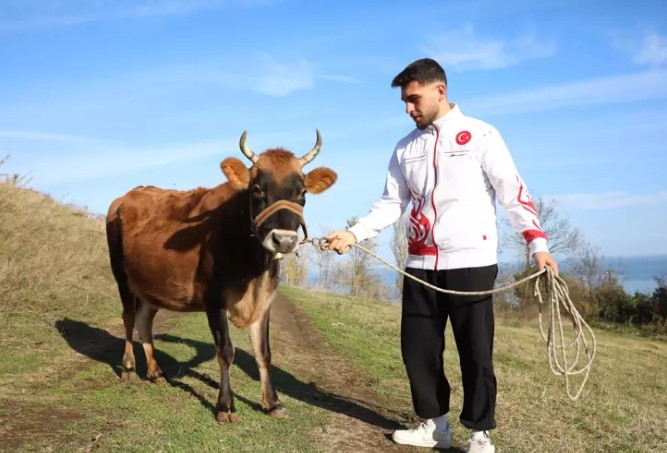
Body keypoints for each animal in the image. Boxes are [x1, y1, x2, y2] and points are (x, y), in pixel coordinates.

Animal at [106, 130, 336, 420]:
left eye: (302, 193)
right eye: (257, 190)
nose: (284, 240)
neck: (253, 267)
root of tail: (127, 195)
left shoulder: (264, 300)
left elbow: (264, 352)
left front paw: (273, 402)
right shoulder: (214, 298)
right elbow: (226, 351)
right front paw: (225, 405)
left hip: (150, 283)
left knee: (143, 319)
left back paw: (156, 372)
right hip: (121, 274)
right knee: (127, 317)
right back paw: (127, 367)